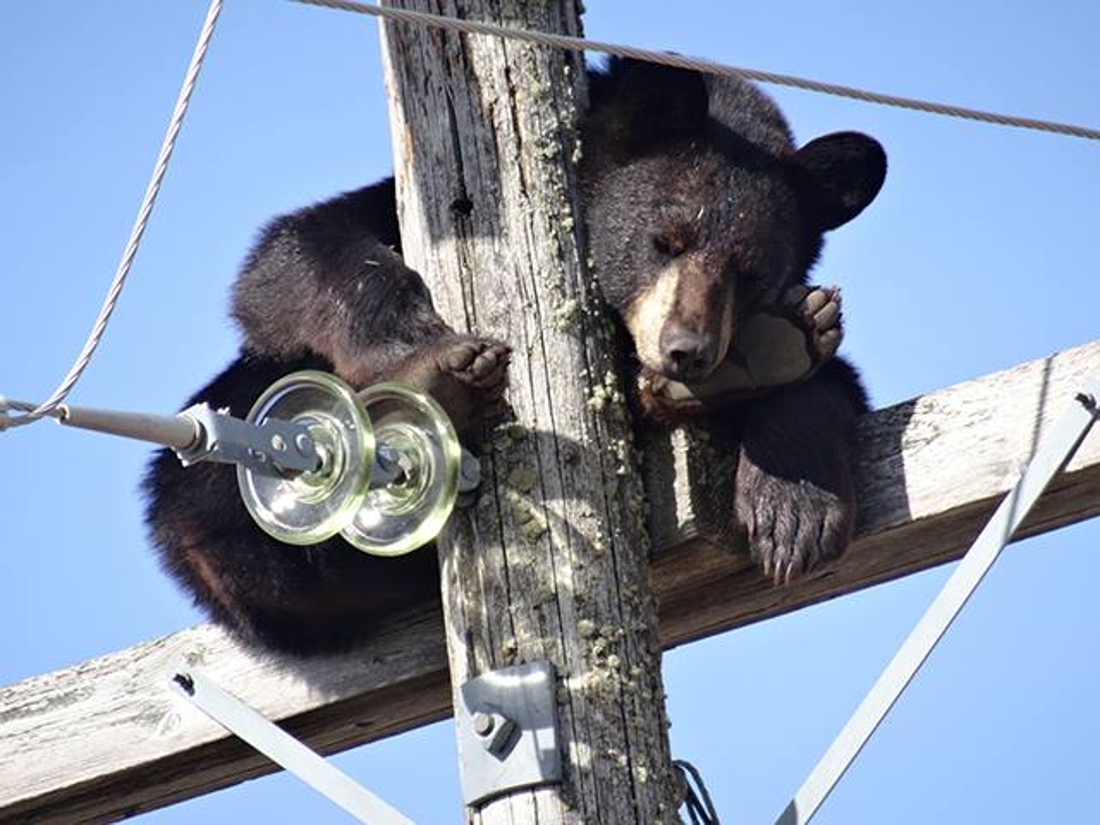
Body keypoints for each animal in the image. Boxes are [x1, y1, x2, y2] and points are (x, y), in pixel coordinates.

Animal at [144, 58, 884, 655]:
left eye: (750, 273)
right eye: (663, 240)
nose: (688, 351)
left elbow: (834, 381)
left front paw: (794, 501)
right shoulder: (408, 207)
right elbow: (289, 258)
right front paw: (424, 356)